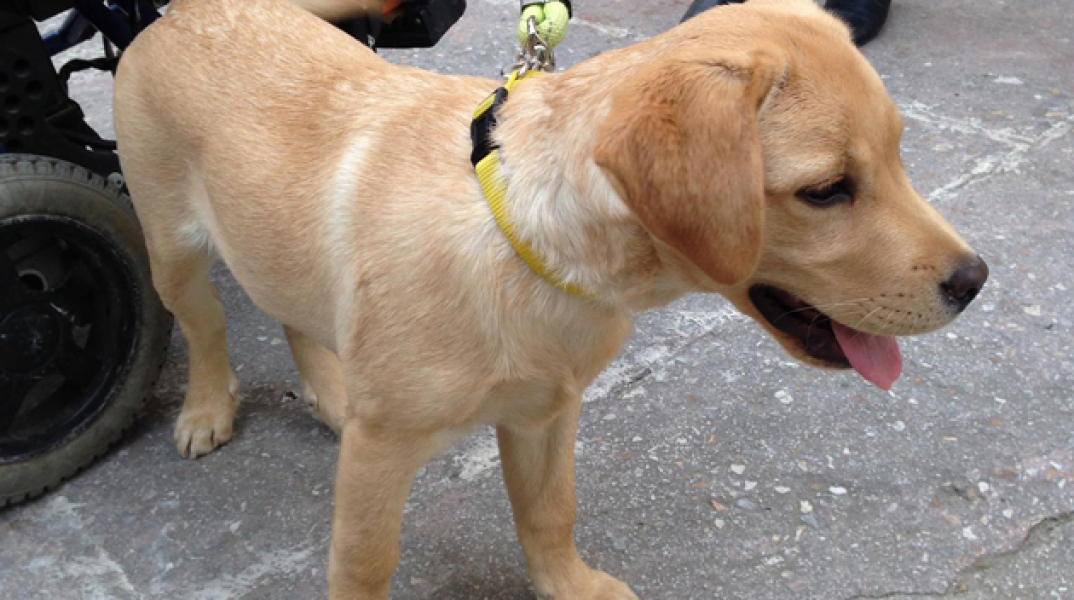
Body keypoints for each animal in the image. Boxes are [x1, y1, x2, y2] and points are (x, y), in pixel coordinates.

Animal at [113, 0, 987, 597]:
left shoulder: (545, 411)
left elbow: (549, 512)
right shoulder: (383, 450)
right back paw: (206, 410)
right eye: (827, 190)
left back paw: (328, 393)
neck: (524, 249)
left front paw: (568, 585)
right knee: (206, 326)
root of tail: (181, 10)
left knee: (294, 313)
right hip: (171, 249)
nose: (976, 281)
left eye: (900, 152)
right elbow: (364, 562)